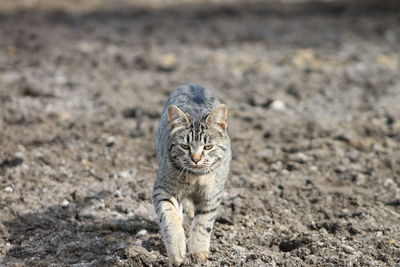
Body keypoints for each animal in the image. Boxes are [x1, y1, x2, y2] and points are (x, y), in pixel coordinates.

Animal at [153, 85, 231, 264]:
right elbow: (168, 216)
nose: (196, 159)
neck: (196, 177)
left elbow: (203, 223)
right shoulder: (163, 189)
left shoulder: (212, 195)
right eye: (185, 146)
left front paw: (198, 251)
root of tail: (192, 83)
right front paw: (176, 248)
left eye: (208, 147)